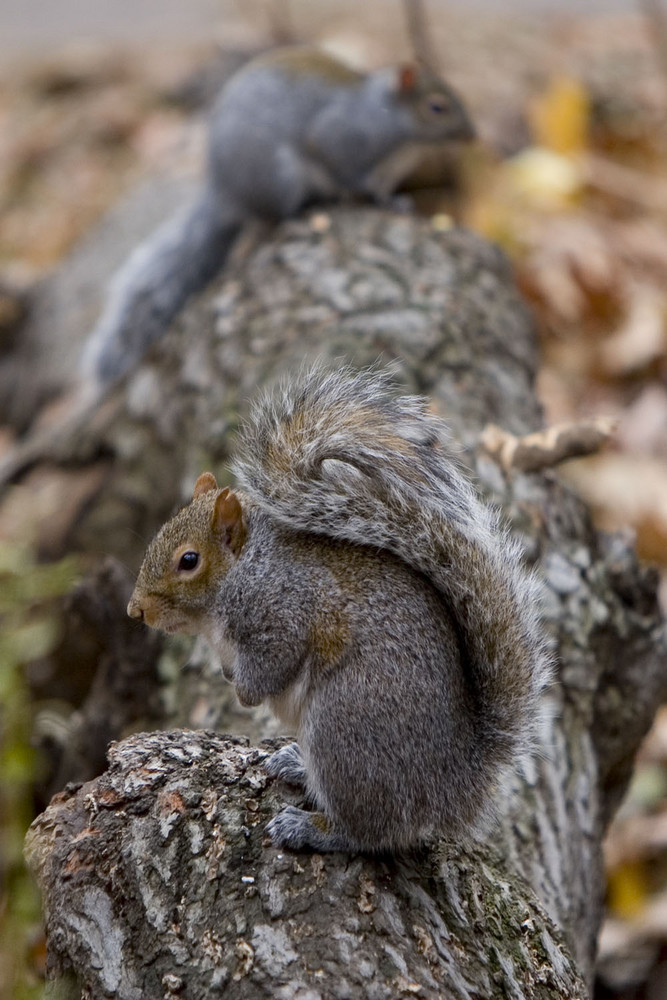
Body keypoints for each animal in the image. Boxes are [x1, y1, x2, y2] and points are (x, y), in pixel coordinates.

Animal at [81, 48, 474, 388]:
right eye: (437, 107)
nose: (473, 136)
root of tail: (226, 191)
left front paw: (399, 201)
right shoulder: (343, 140)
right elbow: (352, 177)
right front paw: (384, 201)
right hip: (281, 180)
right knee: (277, 214)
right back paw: (310, 207)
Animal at [128, 368, 552, 852]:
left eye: (189, 560)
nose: (136, 611)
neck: (245, 572)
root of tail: (451, 786)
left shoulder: (286, 614)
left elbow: (273, 663)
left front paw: (245, 692)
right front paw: (229, 675)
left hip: (343, 727)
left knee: (367, 831)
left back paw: (311, 828)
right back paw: (295, 764)